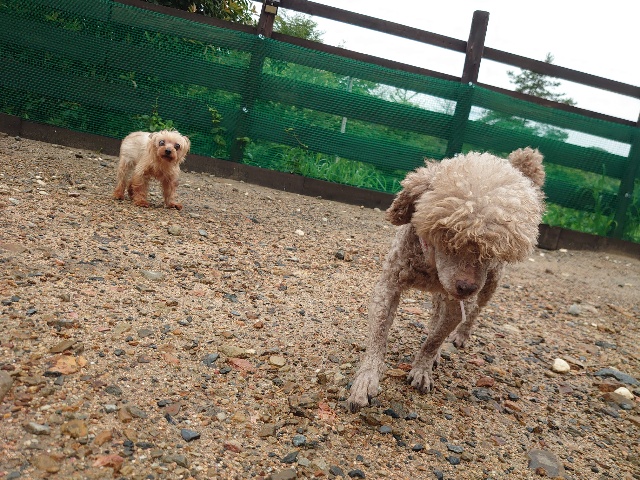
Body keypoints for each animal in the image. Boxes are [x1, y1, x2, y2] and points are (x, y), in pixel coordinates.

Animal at [347, 148, 545, 412]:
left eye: (492, 250)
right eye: (447, 232)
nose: (466, 288)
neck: (430, 266)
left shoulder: (458, 305)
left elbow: (434, 340)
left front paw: (422, 369)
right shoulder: (388, 287)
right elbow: (378, 337)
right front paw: (366, 379)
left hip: (490, 285)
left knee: (473, 313)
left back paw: (460, 337)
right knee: (436, 312)